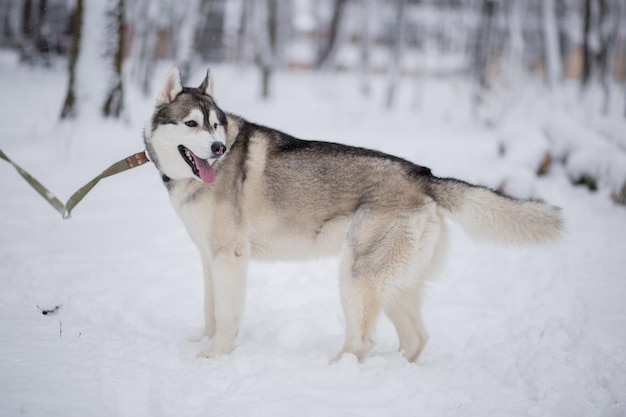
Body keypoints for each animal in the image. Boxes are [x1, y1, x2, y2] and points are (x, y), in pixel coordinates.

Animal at [145, 67, 560, 360]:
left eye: (215, 125)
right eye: (192, 123)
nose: (218, 147)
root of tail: (424, 176)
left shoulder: (229, 259)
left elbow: (227, 315)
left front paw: (217, 354)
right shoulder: (209, 258)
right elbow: (211, 310)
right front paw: (204, 340)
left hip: (357, 275)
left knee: (363, 339)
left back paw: (333, 371)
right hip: (394, 284)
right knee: (416, 337)